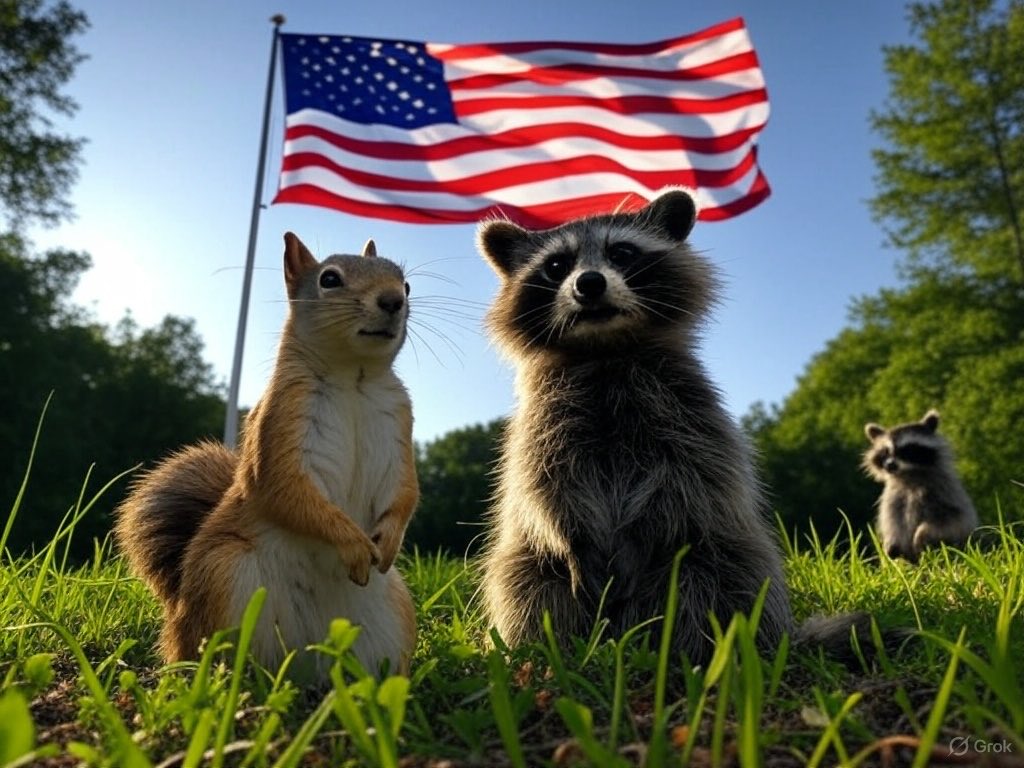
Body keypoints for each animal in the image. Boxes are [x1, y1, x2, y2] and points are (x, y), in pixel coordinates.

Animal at [114, 232, 419, 678]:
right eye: (329, 279)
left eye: (406, 283)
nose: (393, 300)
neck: (354, 378)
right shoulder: (280, 426)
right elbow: (287, 491)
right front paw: (353, 543)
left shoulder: (398, 429)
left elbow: (405, 493)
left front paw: (390, 540)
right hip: (225, 578)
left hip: (394, 613)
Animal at [476, 188, 880, 665]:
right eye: (557, 265)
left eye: (622, 252)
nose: (588, 283)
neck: (604, 349)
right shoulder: (541, 424)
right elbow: (544, 486)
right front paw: (573, 540)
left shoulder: (689, 409)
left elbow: (686, 479)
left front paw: (639, 538)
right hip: (533, 565)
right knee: (525, 582)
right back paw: (549, 653)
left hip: (720, 555)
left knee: (714, 575)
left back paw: (696, 652)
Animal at [862, 409, 978, 563]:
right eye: (885, 452)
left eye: (906, 450)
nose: (889, 465)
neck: (909, 474)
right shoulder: (893, 496)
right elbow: (892, 519)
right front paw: (891, 541)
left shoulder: (944, 490)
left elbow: (954, 519)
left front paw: (923, 532)